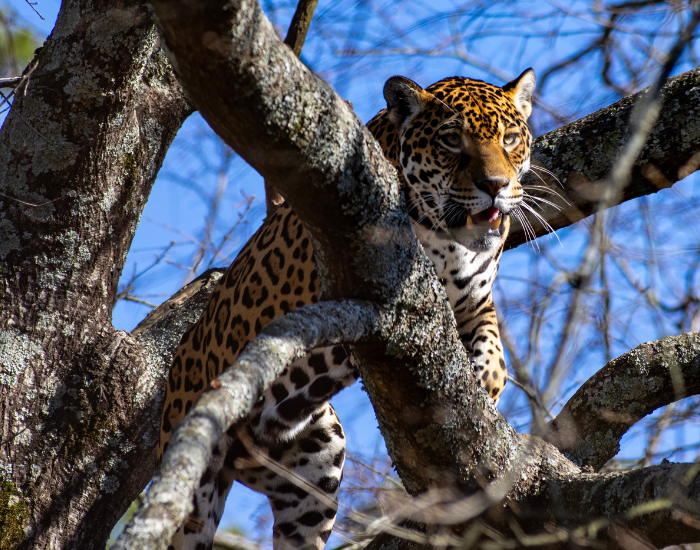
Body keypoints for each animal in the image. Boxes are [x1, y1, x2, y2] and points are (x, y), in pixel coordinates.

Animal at [158, 68, 536, 550]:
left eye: (510, 139)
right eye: (452, 140)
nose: (496, 186)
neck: (453, 241)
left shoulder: (476, 304)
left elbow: (495, 354)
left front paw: (485, 386)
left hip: (316, 466)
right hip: (195, 482)